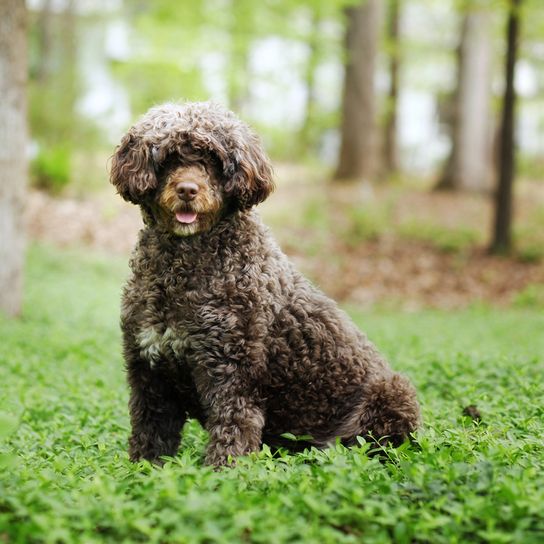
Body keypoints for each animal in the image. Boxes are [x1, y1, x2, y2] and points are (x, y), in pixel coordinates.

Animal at [107, 102, 420, 468]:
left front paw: (221, 474)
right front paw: (142, 470)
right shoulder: (150, 373)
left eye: (212, 159)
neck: (183, 266)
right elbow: (150, 434)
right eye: (169, 157)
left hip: (392, 393)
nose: (187, 190)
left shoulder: (232, 374)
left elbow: (232, 432)